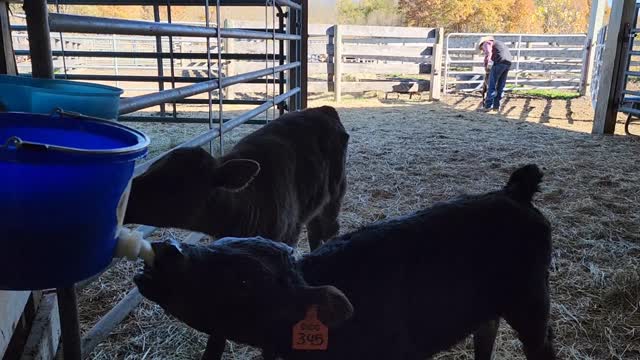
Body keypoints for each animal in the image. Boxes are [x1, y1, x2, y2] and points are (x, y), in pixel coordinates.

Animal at [134, 165, 556, 360]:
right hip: (487, 306)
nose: (169, 249)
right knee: (486, 333)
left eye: (243, 283)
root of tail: (513, 192)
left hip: (531, 303)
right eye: (219, 243)